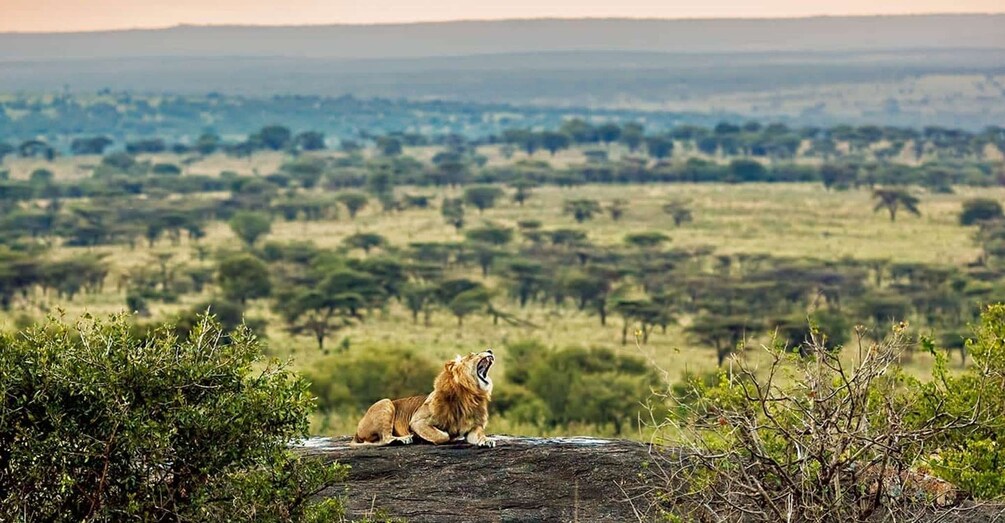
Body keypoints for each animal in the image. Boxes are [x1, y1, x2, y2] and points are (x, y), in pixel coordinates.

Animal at [351, 350, 496, 448]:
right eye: (472, 355)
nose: (490, 350)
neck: (469, 395)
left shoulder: (473, 427)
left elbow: (479, 434)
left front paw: (486, 440)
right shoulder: (417, 421)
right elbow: (443, 436)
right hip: (385, 402)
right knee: (384, 438)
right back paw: (403, 439)